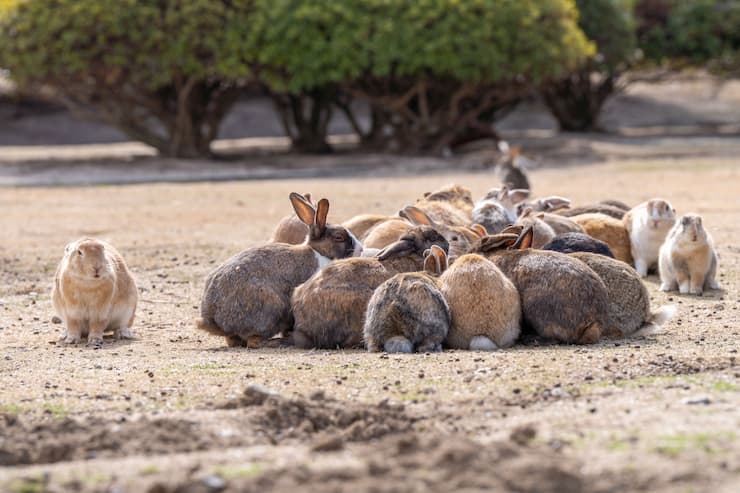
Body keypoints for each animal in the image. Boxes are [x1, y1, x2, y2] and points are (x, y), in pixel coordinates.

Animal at [195, 192, 360, 346]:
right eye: (339, 237)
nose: (361, 249)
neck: (320, 252)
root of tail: (213, 320)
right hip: (272, 308)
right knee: (254, 341)